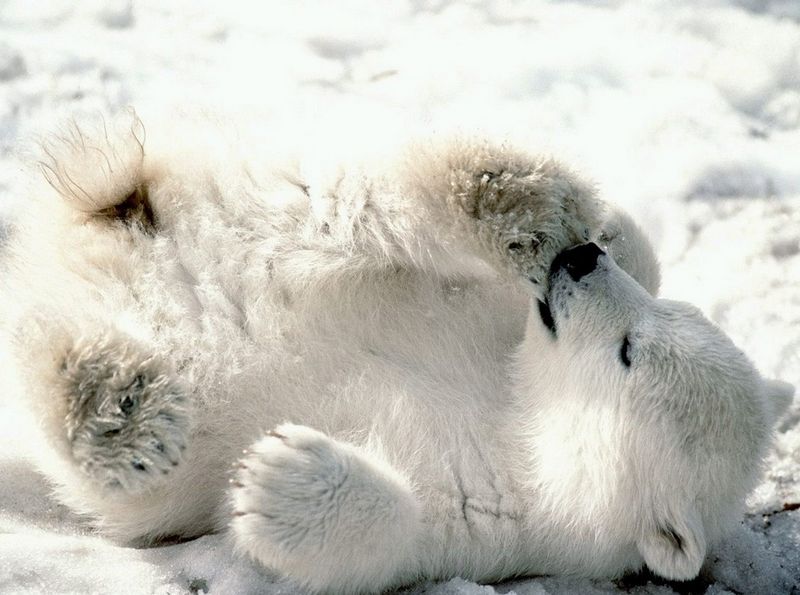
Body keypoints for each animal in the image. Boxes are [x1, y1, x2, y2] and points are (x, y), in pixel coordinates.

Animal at [0, 112, 792, 592]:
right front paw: (601, 229)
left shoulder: (505, 520)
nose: (579, 262)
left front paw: (278, 477)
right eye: (667, 316)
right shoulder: (493, 319)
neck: (518, 408)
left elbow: (391, 538)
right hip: (263, 216)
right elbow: (630, 256)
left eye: (629, 352)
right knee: (357, 207)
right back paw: (515, 199)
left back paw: (117, 408)